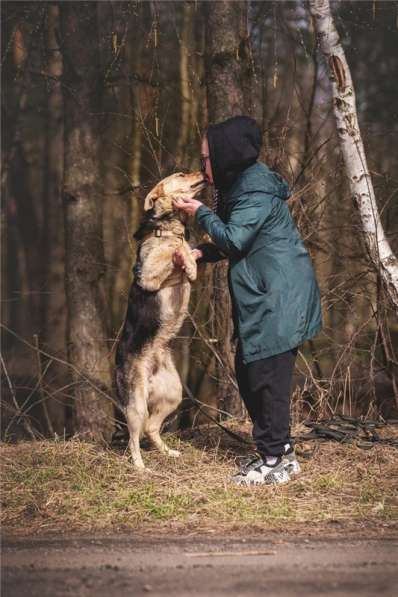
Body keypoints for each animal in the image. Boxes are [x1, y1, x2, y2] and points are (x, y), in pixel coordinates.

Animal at [115, 170, 207, 468]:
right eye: (181, 174)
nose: (201, 170)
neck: (168, 225)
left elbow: (189, 250)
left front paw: (191, 261)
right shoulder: (149, 275)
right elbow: (173, 252)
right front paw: (184, 259)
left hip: (173, 394)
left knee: (151, 428)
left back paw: (168, 452)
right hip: (136, 403)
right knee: (135, 435)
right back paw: (140, 466)